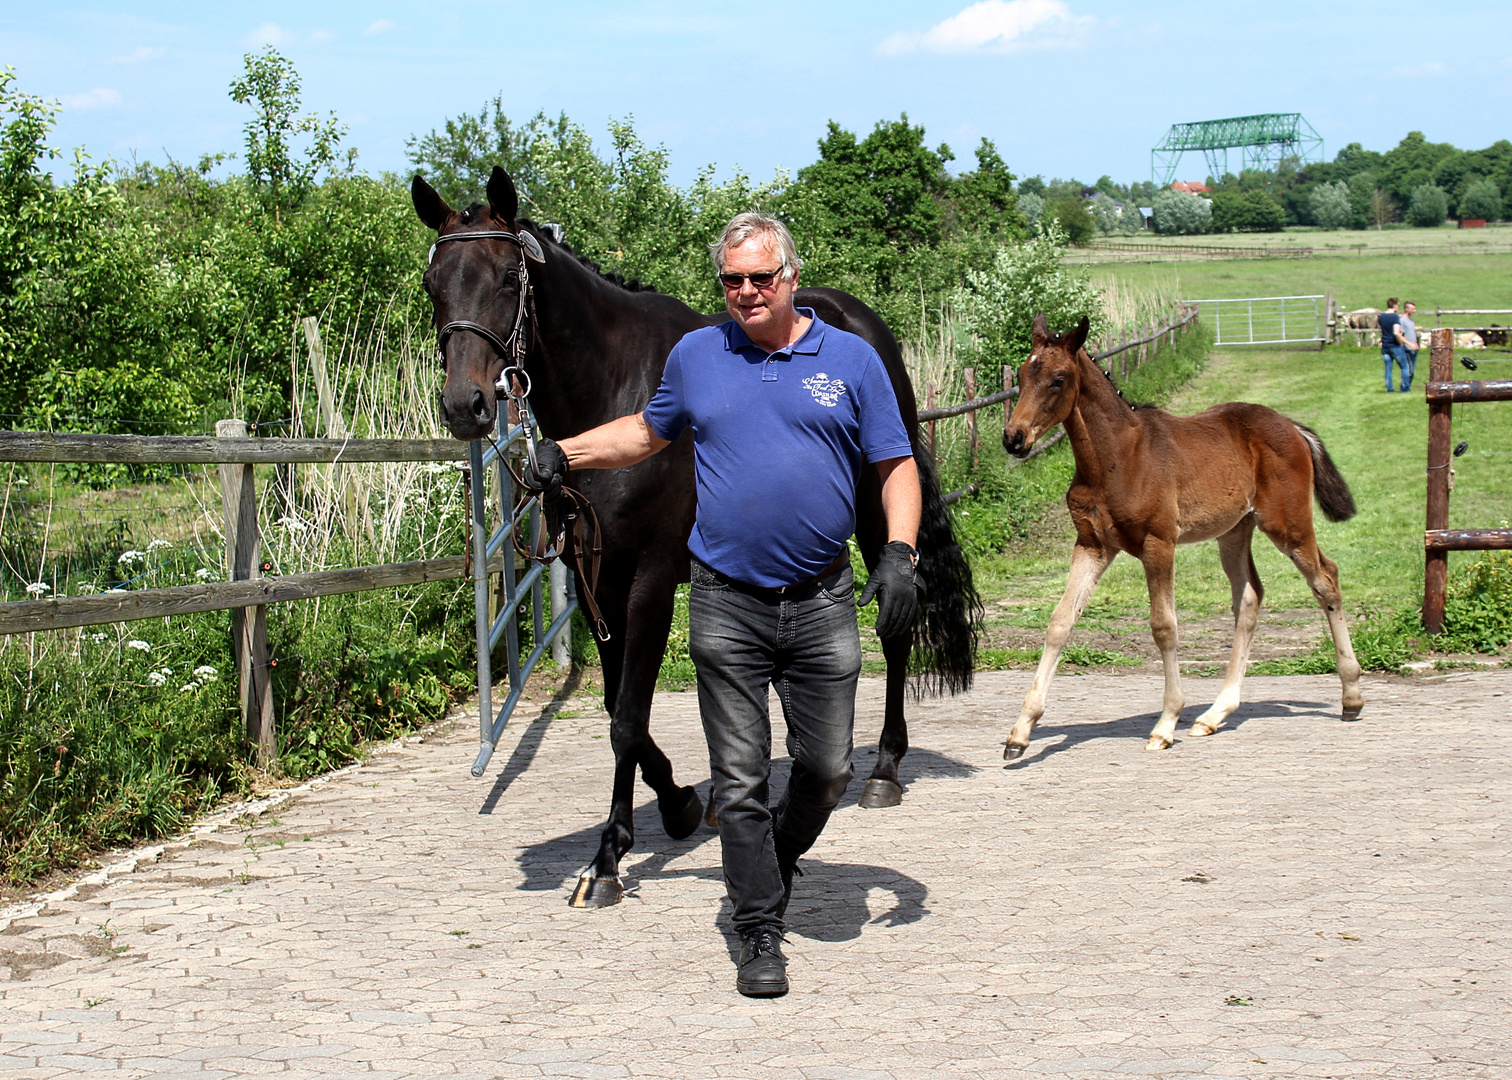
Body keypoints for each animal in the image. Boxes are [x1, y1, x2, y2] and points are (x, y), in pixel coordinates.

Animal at [414, 167, 979, 901]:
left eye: (510, 277)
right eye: (435, 283)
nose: (466, 405)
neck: (615, 384)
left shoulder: (651, 580)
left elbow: (628, 718)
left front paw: (608, 857)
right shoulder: (601, 581)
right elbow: (619, 707)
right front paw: (681, 802)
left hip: (876, 512)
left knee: (895, 629)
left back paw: (882, 769)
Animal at [997, 311, 1366, 753]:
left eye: (1058, 379)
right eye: (1021, 374)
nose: (1014, 438)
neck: (1117, 459)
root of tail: (1292, 426)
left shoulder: (1159, 544)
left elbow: (1164, 626)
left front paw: (1166, 723)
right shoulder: (1092, 545)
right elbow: (1059, 623)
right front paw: (1020, 731)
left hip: (1286, 524)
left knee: (1326, 579)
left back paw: (1351, 697)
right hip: (1234, 530)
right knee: (1249, 598)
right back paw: (1214, 714)